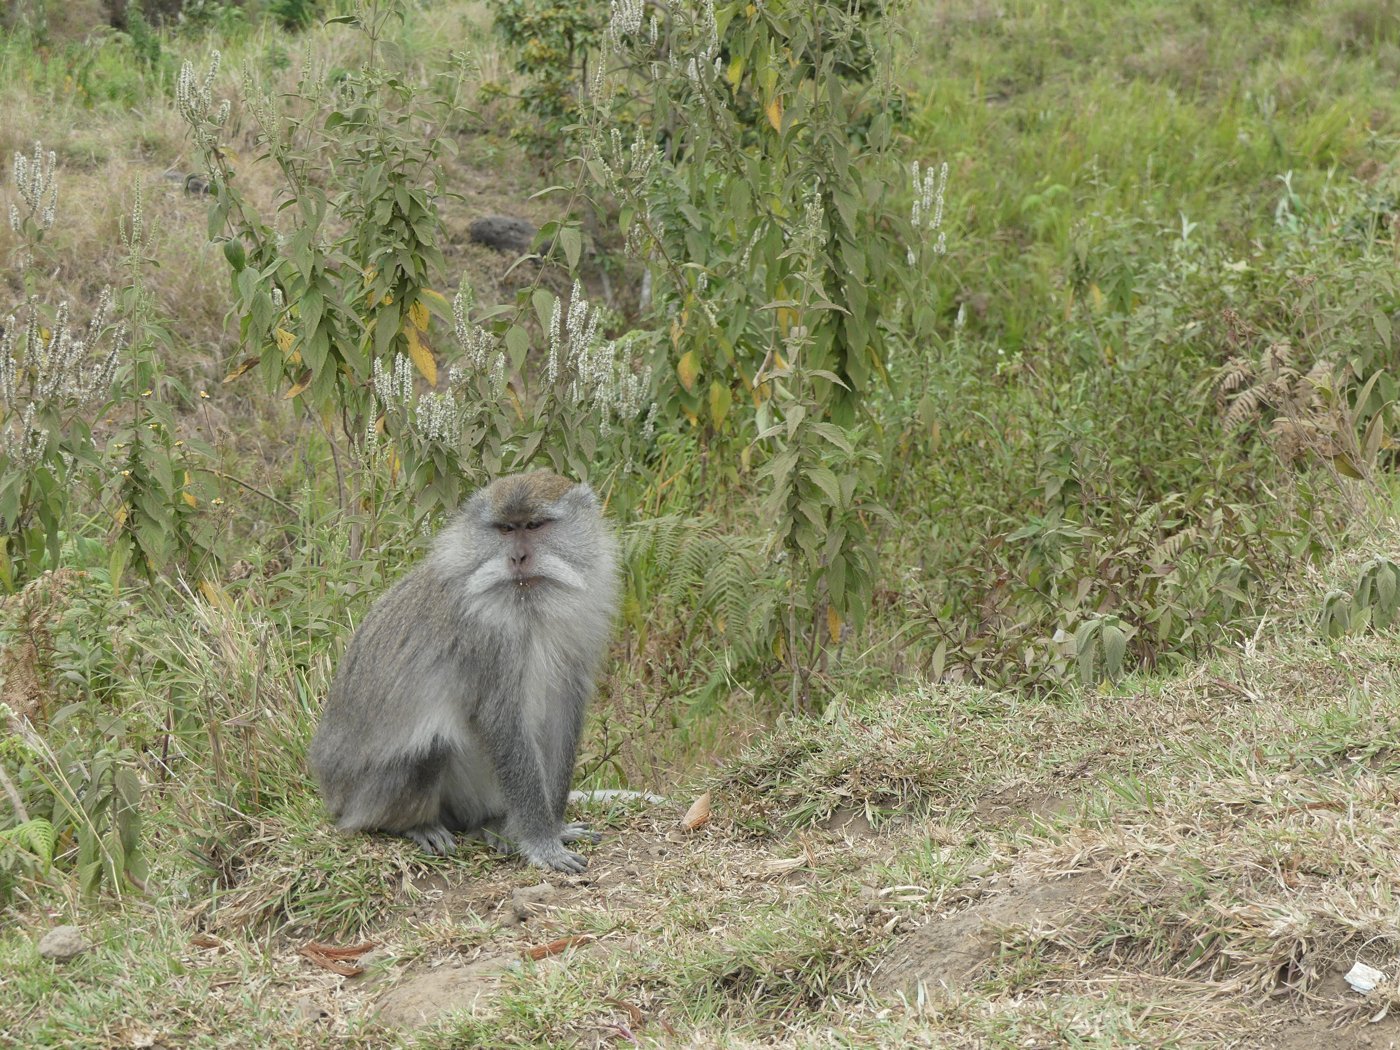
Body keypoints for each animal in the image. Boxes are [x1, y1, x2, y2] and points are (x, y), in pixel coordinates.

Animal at [309, 470, 619, 872]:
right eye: (505, 529)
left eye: (534, 526)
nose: (518, 557)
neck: (528, 611)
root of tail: (332, 797)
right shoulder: (485, 640)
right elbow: (502, 722)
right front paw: (542, 842)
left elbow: (564, 713)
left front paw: (555, 826)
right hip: (362, 800)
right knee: (431, 747)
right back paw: (415, 826)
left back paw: (492, 825)